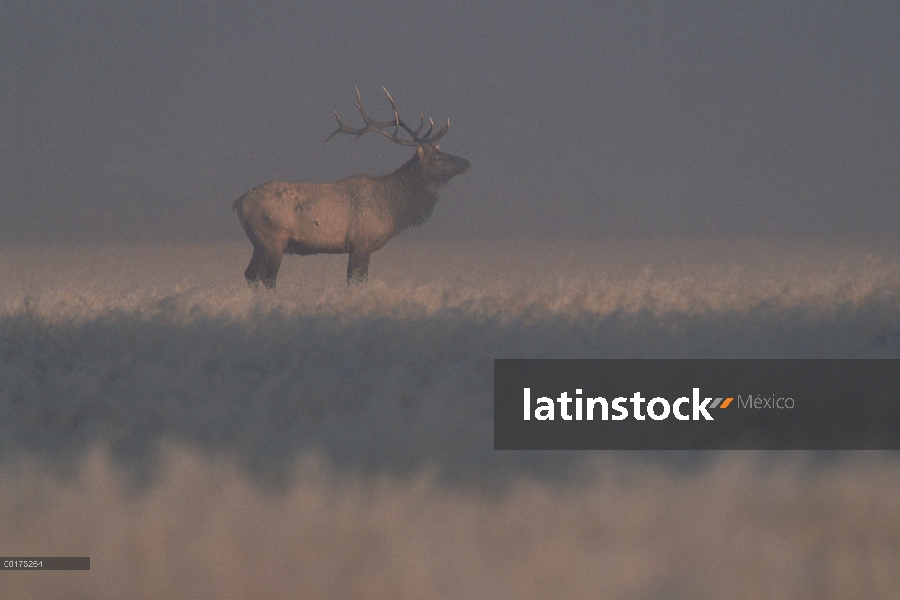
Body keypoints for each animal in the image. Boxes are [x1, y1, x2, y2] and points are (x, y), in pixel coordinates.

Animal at [232, 86, 472, 288]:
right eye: (436, 158)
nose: (467, 163)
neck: (392, 208)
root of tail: (239, 201)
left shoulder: (364, 247)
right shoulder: (360, 242)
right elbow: (354, 281)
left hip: (259, 243)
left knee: (250, 274)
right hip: (272, 238)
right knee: (267, 278)